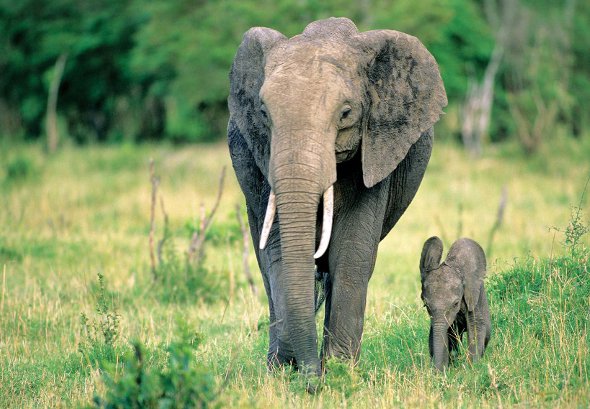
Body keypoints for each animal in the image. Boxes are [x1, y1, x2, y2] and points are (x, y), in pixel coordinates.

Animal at [228, 17, 448, 378]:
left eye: (345, 113)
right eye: (263, 112)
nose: (309, 378)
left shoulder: (377, 149)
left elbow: (351, 254)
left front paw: (340, 371)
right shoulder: (258, 159)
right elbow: (277, 253)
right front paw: (287, 372)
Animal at [420, 234, 494, 372]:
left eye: (455, 304)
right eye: (426, 305)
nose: (437, 371)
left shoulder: (472, 294)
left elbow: (476, 326)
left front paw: (472, 369)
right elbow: (440, 335)